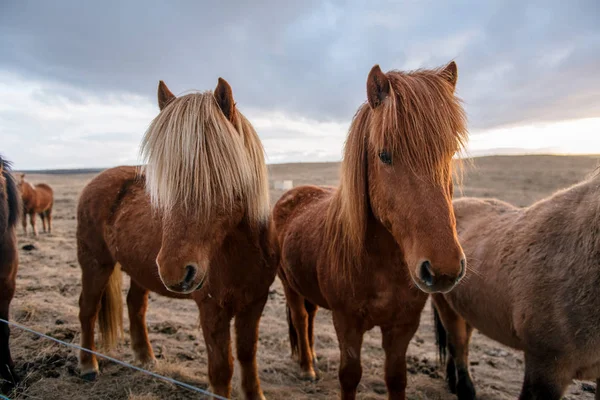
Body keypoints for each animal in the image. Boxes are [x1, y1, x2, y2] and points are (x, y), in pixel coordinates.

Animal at [75, 78, 278, 400]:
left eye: (218, 175)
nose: (174, 271)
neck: (239, 253)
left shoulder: (254, 303)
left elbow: (248, 356)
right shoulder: (212, 310)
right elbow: (221, 369)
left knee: (135, 305)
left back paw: (146, 358)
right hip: (95, 263)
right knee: (88, 309)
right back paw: (88, 365)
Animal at [274, 61, 468, 398]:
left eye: (450, 152)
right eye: (384, 155)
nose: (444, 269)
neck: (381, 265)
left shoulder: (403, 327)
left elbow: (396, 377)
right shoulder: (347, 324)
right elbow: (350, 375)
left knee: (309, 319)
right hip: (289, 285)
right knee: (300, 318)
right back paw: (307, 367)